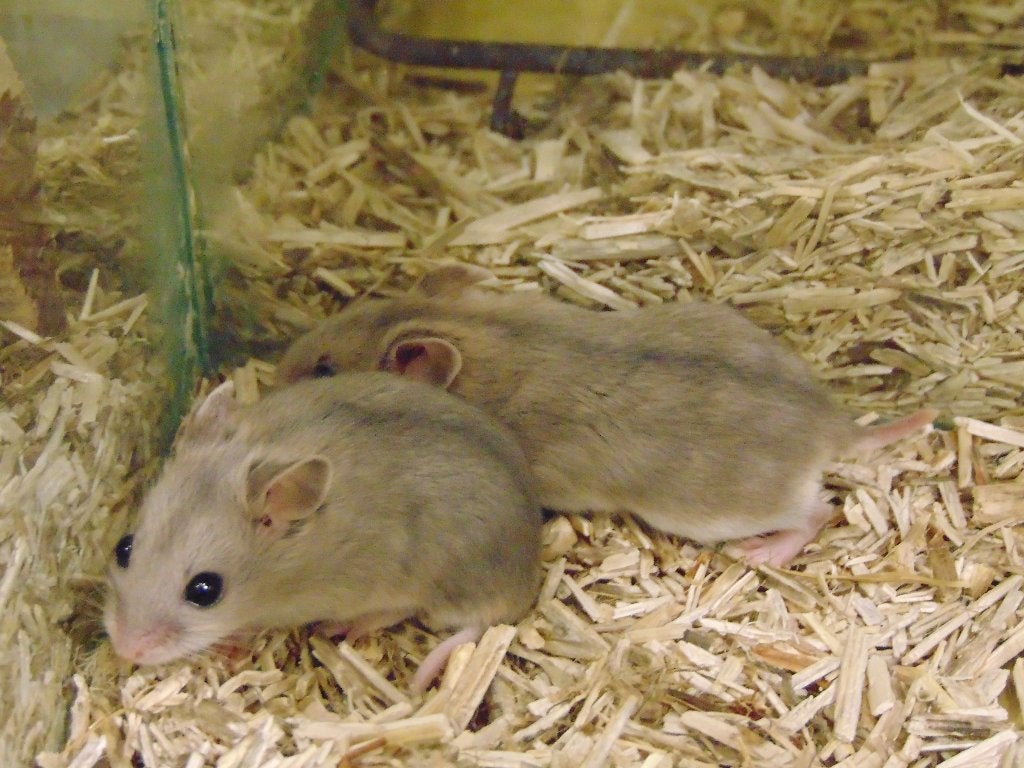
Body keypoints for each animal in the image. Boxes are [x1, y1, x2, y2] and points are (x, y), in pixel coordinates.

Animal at [276, 264, 937, 568]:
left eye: (325, 371)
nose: (272, 375)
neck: (487, 343)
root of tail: (833, 424)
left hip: (729, 511)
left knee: (819, 512)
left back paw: (762, 554)